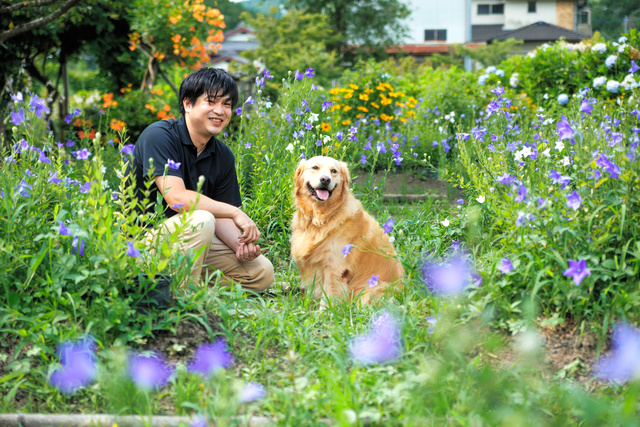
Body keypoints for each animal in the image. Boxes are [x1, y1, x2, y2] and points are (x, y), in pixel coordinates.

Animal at [292, 155, 402, 306]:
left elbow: (328, 297)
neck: (321, 218)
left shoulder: (335, 268)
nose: (325, 179)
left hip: (370, 290)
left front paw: (325, 312)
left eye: (334, 171)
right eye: (315, 167)